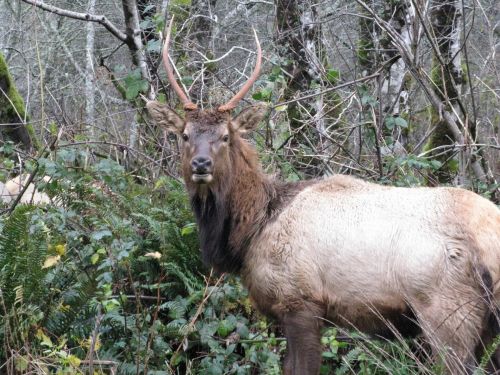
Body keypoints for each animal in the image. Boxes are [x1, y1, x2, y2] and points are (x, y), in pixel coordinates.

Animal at [147, 19, 500, 375]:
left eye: (225, 136)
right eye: (184, 135)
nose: (200, 164)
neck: (252, 231)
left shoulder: (299, 301)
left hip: (447, 312)